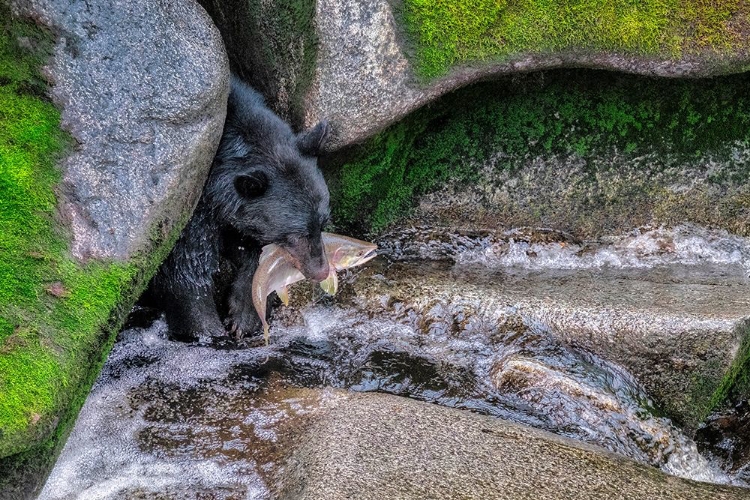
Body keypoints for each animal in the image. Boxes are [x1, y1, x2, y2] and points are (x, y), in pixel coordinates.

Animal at [150, 75, 332, 340]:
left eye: (322, 222)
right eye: (296, 234)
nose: (321, 271)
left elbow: (254, 256)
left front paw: (245, 316)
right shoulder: (191, 208)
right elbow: (186, 264)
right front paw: (205, 328)